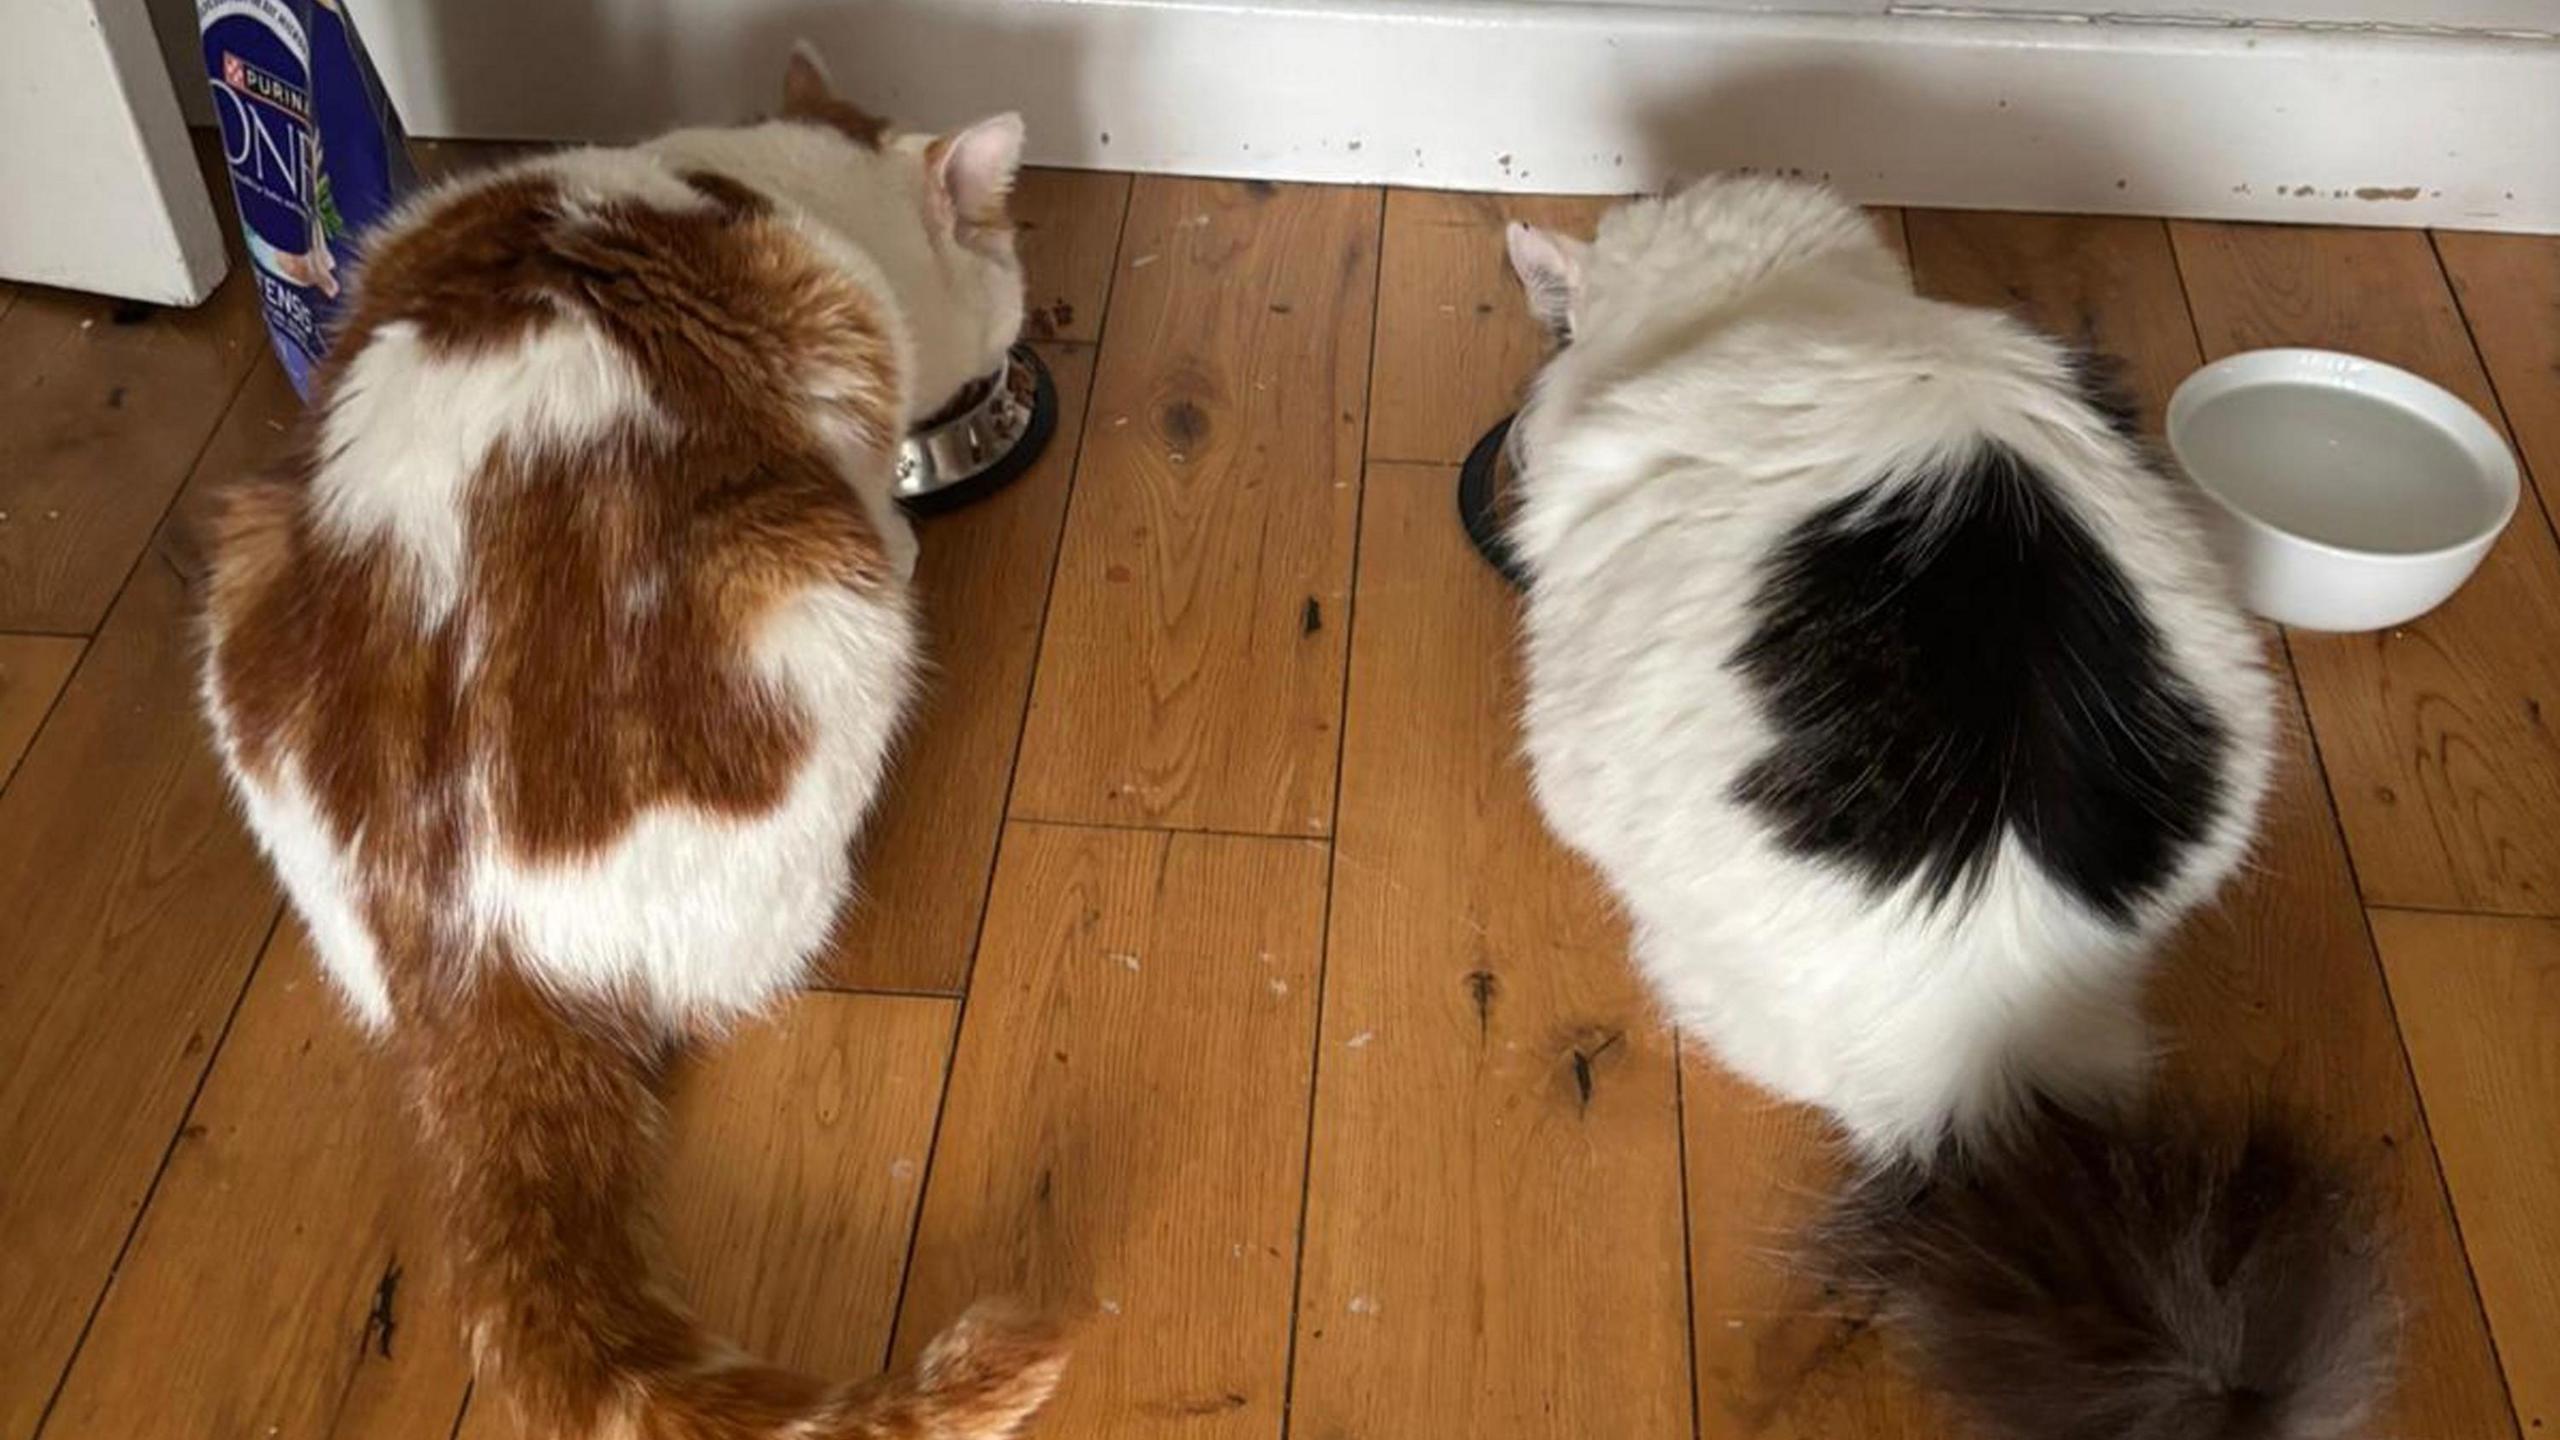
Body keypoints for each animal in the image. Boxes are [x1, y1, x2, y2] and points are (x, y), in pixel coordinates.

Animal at [199, 50, 1059, 1434]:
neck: (756, 181)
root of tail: (471, 956)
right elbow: (887, 499)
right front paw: (914, 519)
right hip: (821, 612)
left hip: (240, 574)